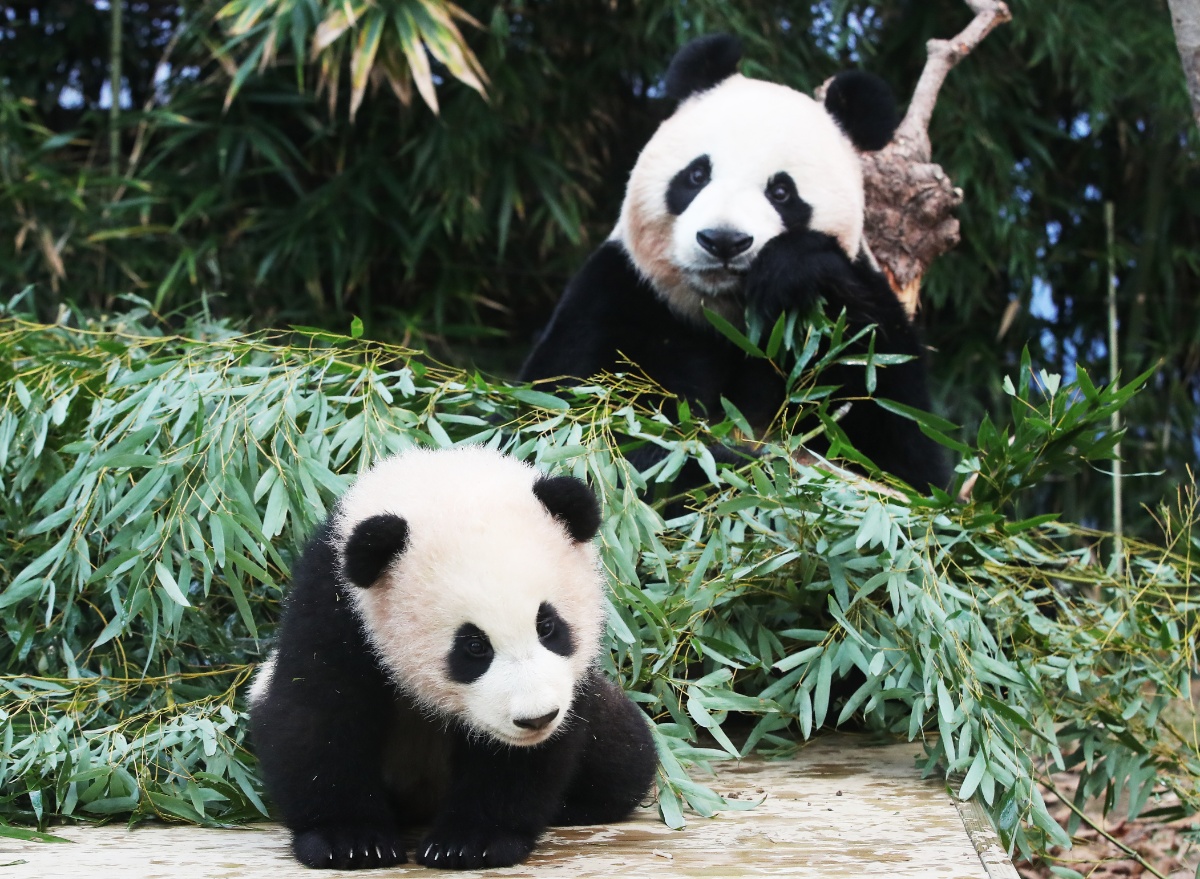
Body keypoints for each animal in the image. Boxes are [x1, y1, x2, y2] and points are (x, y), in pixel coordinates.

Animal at [246, 449, 657, 869]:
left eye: (547, 625)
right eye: (474, 646)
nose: (536, 718)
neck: (435, 482)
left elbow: (514, 760)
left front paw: (471, 842)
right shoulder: (334, 603)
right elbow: (320, 711)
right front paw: (350, 840)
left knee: (622, 753)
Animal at [520, 34, 950, 489]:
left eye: (781, 192)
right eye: (696, 175)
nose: (723, 241)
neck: (724, 320)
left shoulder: (863, 339)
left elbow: (902, 456)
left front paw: (794, 268)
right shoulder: (618, 294)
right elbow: (573, 428)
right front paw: (742, 469)